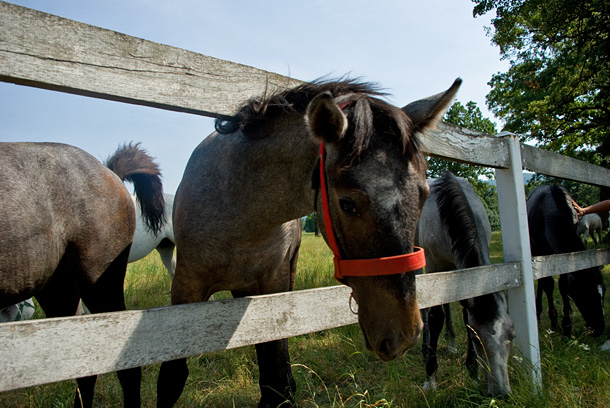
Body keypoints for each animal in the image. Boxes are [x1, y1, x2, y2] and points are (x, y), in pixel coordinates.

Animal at [157, 78, 460, 406]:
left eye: (424, 195)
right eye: (347, 203)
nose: (404, 334)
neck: (239, 211)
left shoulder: (271, 289)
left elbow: (276, 381)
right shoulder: (186, 287)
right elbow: (171, 379)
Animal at [414, 171, 512, 396]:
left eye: (511, 336)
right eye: (477, 340)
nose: (501, 393)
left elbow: (465, 314)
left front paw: (472, 371)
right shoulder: (434, 265)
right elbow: (435, 317)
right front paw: (430, 376)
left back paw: (450, 343)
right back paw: (425, 350)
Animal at [524, 185, 604, 338]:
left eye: (604, 290)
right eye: (583, 292)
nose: (598, 329)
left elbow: (562, 285)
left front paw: (567, 326)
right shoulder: (540, 251)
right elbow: (548, 284)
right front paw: (554, 322)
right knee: (542, 283)